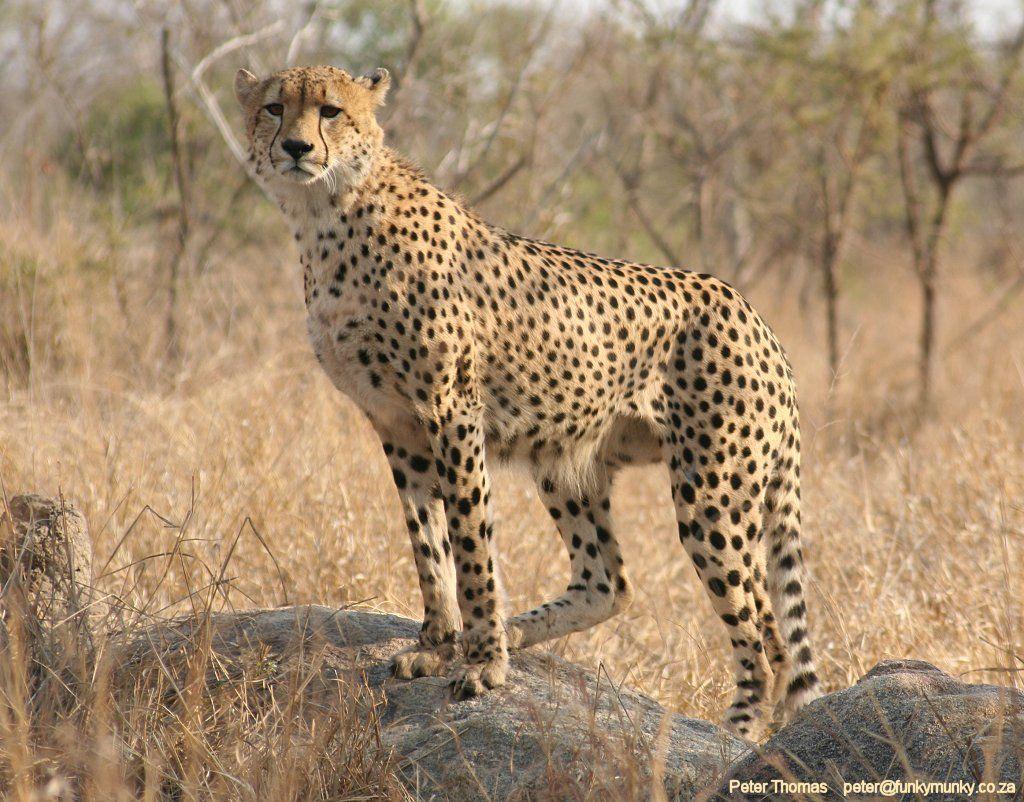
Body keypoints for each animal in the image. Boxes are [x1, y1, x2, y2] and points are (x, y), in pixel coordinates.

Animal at [234, 64, 822, 739]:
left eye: (330, 111)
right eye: (274, 108)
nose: (296, 147)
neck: (329, 214)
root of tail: (753, 313)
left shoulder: (451, 412)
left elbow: (470, 542)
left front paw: (483, 662)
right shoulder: (395, 422)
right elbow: (427, 543)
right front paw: (438, 644)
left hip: (713, 491)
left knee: (766, 629)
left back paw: (745, 727)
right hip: (569, 462)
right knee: (609, 582)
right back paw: (522, 631)